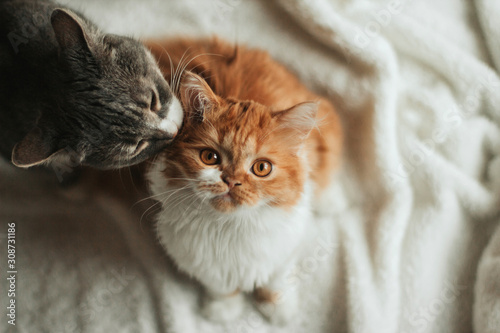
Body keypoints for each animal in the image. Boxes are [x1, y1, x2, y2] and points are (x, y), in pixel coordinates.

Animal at [143, 37, 342, 322]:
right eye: (210, 157)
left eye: (261, 168)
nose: (232, 181)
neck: (230, 227)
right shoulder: (200, 260)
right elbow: (221, 286)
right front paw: (223, 310)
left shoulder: (285, 249)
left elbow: (275, 280)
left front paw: (279, 309)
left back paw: (330, 201)